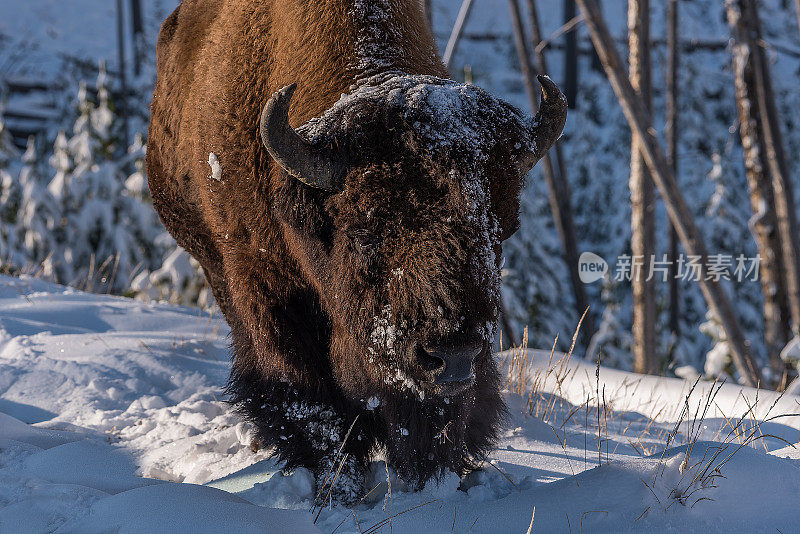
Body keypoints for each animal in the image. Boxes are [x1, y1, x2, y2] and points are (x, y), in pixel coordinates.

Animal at [145, 0, 568, 502]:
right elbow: (307, 394)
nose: (453, 356)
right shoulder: (262, 285)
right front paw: (339, 485)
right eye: (365, 232)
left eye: (499, 232)